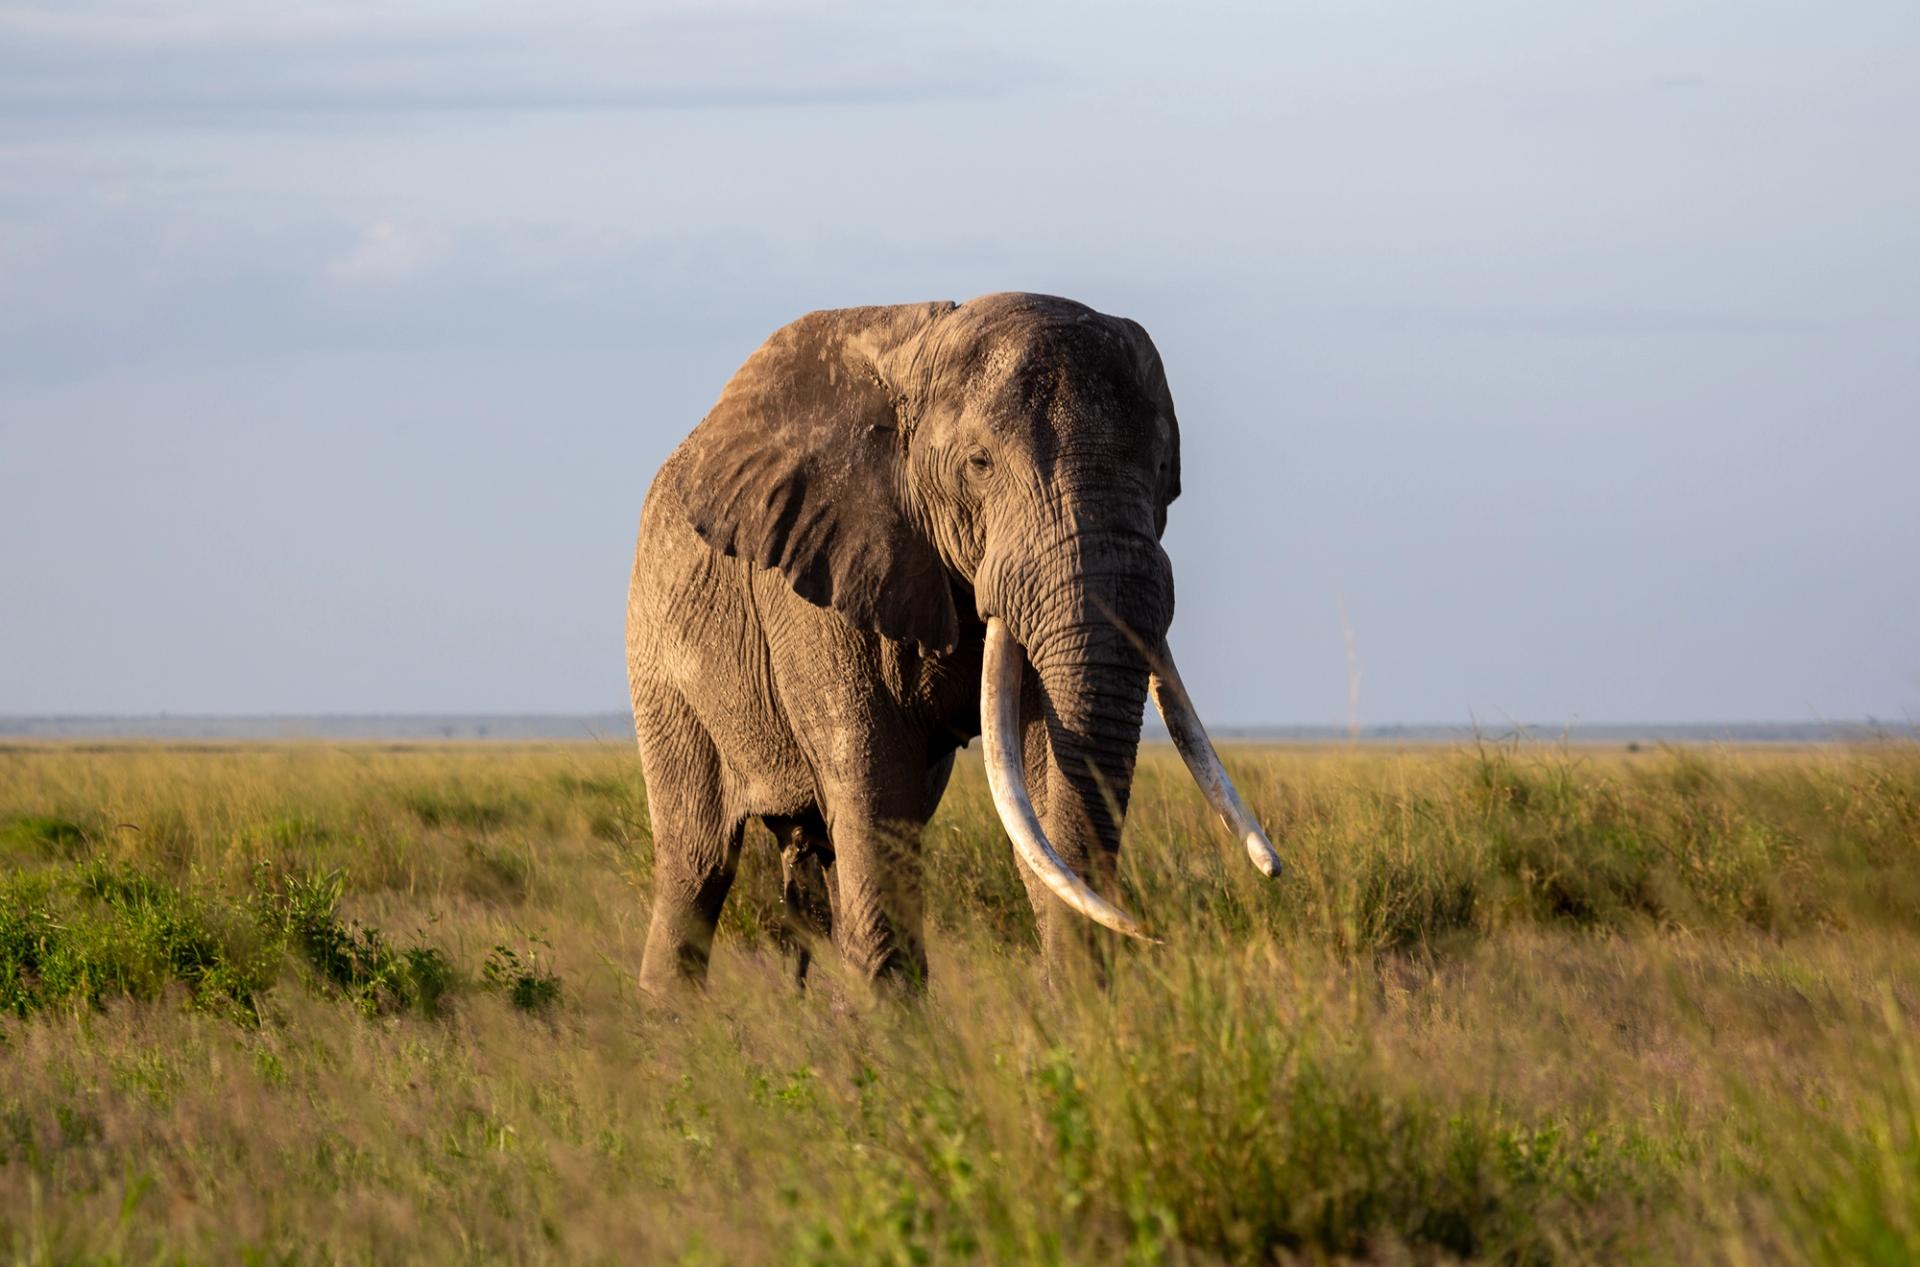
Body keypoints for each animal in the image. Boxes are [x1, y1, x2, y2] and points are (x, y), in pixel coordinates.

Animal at [625, 292, 1280, 993]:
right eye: (979, 464)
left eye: (1163, 473)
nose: (1145, 932)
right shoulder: (814, 580)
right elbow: (871, 775)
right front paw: (888, 1025)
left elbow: (1039, 778)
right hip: (658, 656)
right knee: (698, 860)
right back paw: (675, 1017)